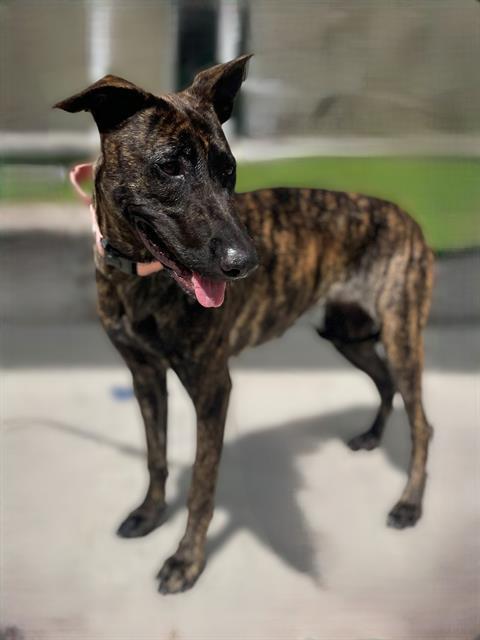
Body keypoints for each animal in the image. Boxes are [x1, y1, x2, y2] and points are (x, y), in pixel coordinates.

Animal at [55, 55, 436, 596]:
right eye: (169, 165)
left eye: (228, 170)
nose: (247, 263)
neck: (139, 277)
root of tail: (410, 219)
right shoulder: (144, 376)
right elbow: (155, 456)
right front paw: (150, 514)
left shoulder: (214, 387)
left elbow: (202, 483)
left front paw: (186, 561)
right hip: (345, 333)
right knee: (383, 383)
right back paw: (370, 437)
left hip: (401, 337)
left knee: (421, 421)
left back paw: (408, 505)